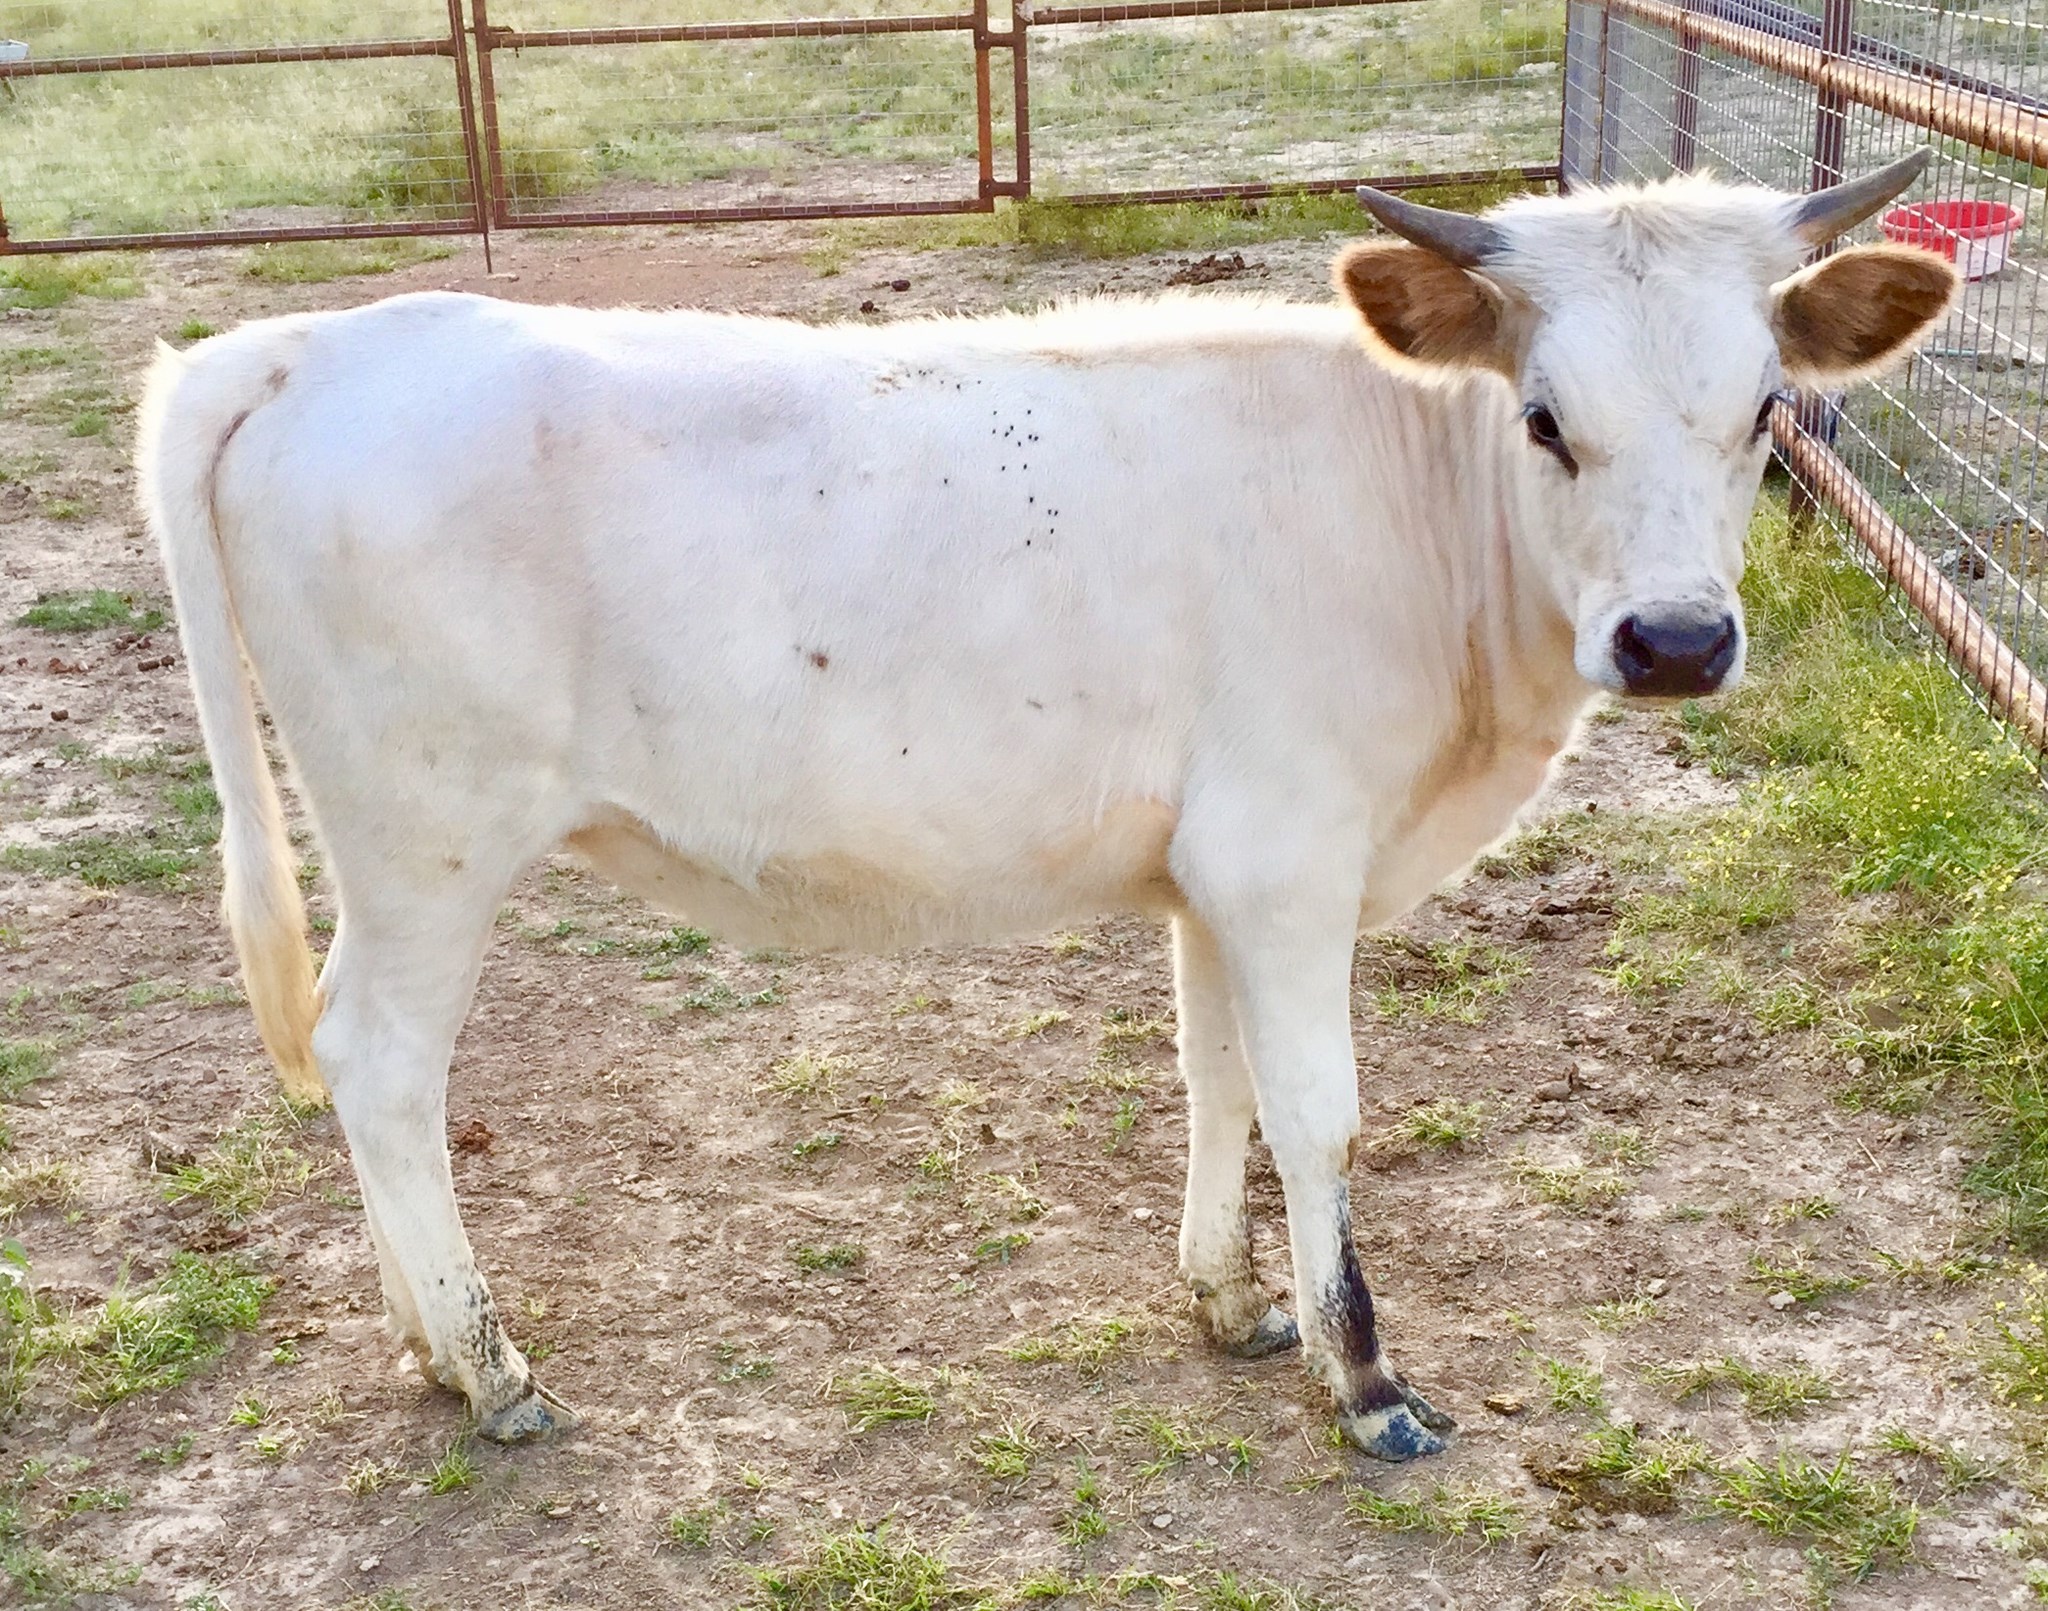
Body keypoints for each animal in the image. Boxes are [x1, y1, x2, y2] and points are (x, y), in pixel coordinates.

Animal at [138, 154, 1953, 1460]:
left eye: (1765, 412)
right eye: (1545, 418)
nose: (1675, 641)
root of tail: (305, 344)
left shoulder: (1212, 870)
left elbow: (1217, 1081)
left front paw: (1237, 1302)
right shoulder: (1289, 855)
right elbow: (1318, 1111)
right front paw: (1366, 1379)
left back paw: (423, 1346)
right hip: (427, 837)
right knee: (380, 1062)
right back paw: (488, 1360)